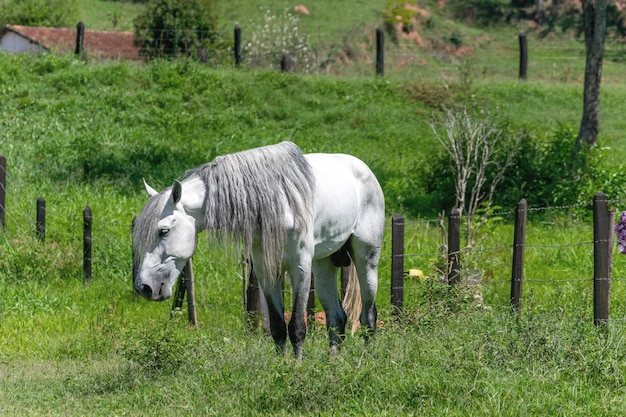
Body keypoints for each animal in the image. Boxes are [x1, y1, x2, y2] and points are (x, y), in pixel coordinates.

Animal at [134, 141, 382, 358]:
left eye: (164, 230)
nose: (143, 287)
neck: (277, 203)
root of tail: (364, 170)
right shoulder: (266, 270)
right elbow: (278, 327)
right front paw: (282, 367)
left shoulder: (300, 268)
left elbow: (297, 327)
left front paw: (298, 370)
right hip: (324, 266)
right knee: (337, 319)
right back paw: (333, 364)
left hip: (366, 260)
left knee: (368, 316)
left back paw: (366, 361)